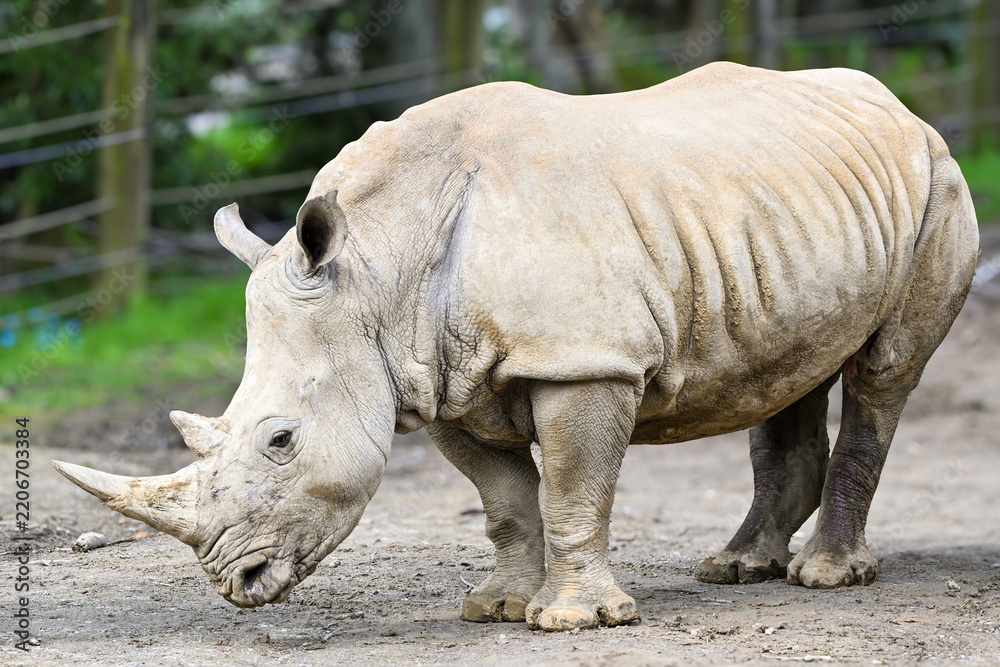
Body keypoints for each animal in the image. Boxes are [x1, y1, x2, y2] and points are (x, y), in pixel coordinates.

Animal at [54, 62, 979, 631]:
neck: (375, 265)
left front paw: (575, 620)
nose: (235, 583)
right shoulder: (435, 374)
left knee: (885, 372)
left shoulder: (583, 359)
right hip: (783, 204)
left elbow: (572, 487)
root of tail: (898, 105)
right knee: (785, 372)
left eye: (281, 440)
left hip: (939, 179)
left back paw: (827, 576)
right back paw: (734, 568)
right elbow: (503, 497)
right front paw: (496, 608)